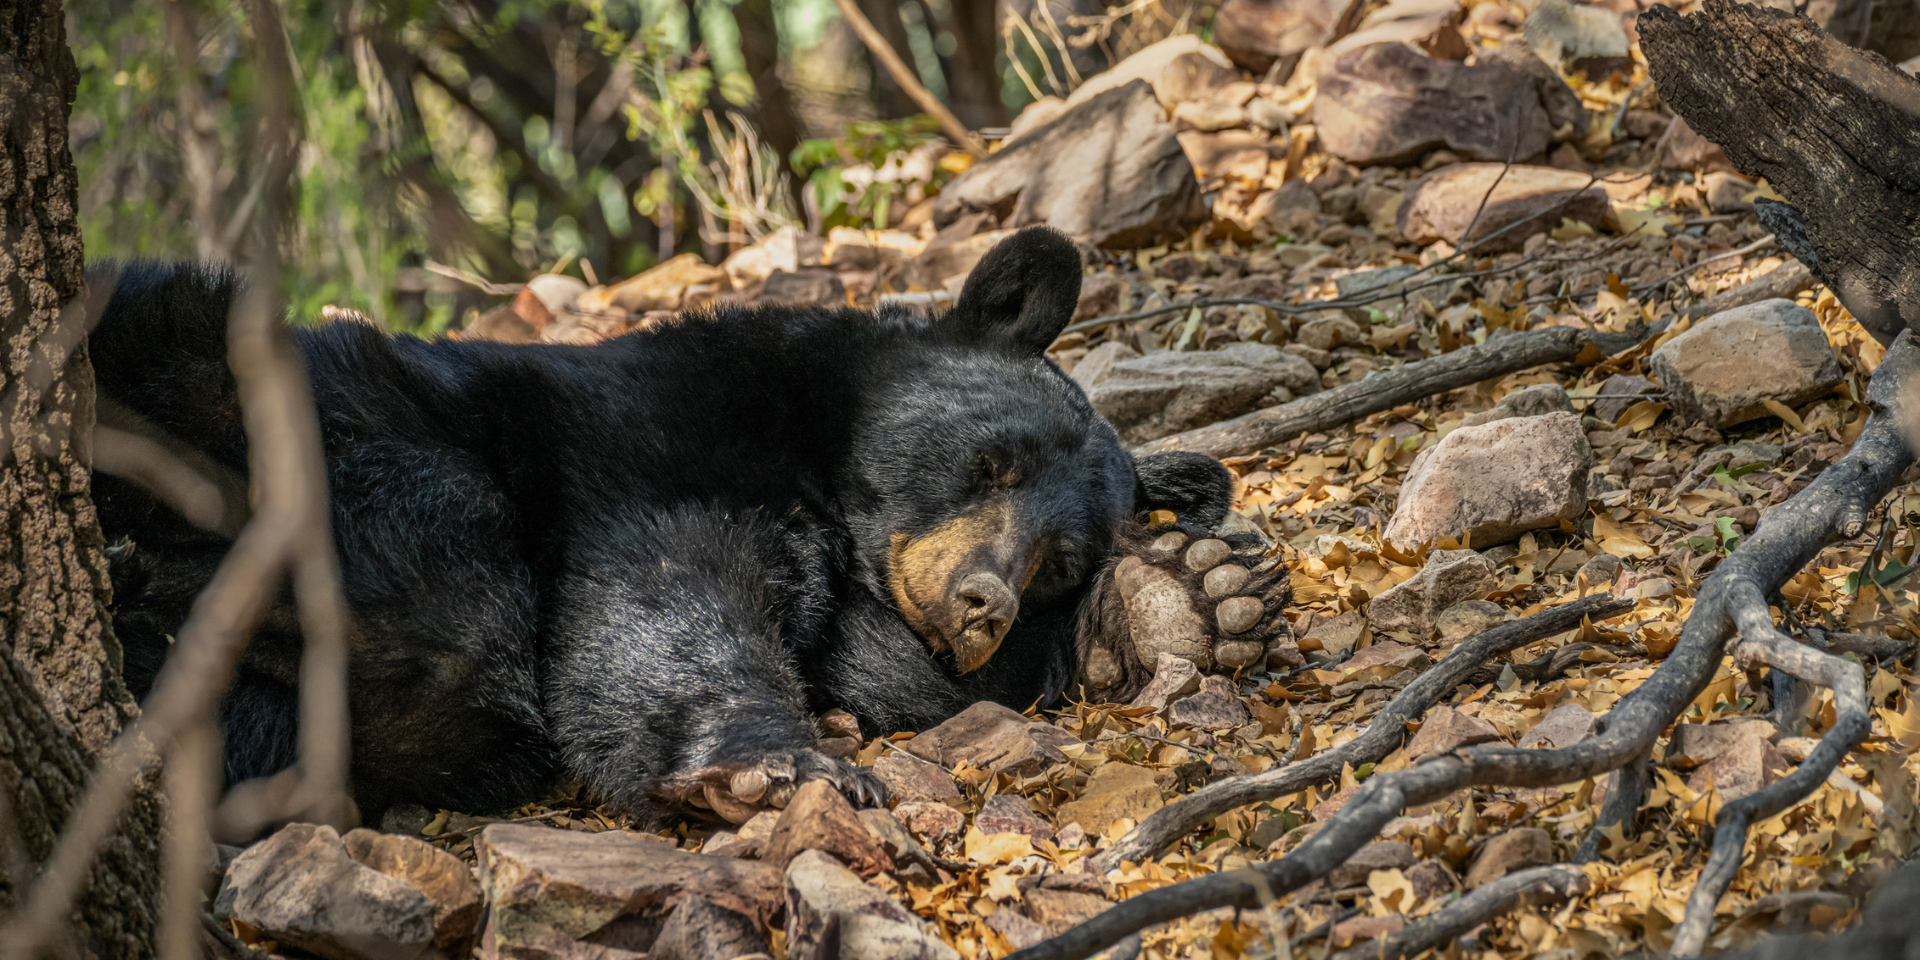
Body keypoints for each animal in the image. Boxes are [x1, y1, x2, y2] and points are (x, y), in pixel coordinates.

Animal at [90, 226, 1290, 825]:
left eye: (1059, 560)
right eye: (989, 463)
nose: (983, 601)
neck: (831, 490)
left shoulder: (863, 614)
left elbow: (906, 684)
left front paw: (1190, 598)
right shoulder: (646, 442)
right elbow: (665, 591)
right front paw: (784, 766)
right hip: (213, 365)